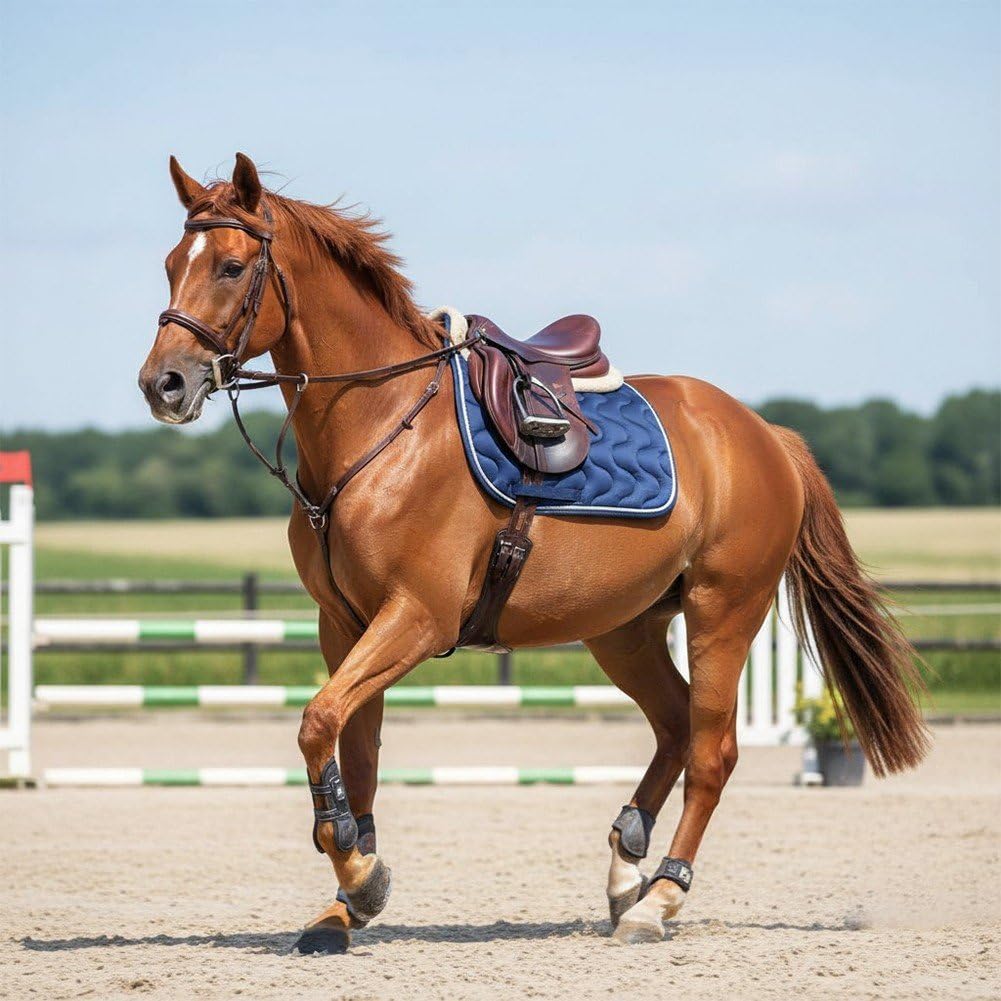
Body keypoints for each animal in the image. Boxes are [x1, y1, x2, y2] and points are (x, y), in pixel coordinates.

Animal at [139, 153, 929, 952]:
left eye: (233, 266)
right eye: (172, 263)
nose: (161, 384)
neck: (380, 424)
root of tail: (765, 433)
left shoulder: (416, 617)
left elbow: (316, 723)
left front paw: (359, 872)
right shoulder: (345, 624)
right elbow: (350, 747)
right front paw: (346, 900)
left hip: (722, 611)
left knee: (712, 751)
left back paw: (657, 900)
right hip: (624, 628)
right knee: (675, 725)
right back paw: (624, 865)